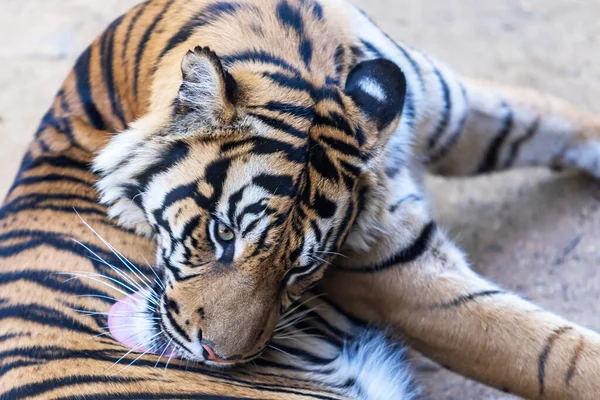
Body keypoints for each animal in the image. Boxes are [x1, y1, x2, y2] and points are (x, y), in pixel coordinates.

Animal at [3, 0, 600, 398]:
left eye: (301, 270)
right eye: (222, 234)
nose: (220, 357)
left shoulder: (446, 104)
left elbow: (548, 118)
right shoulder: (398, 279)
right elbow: (553, 354)